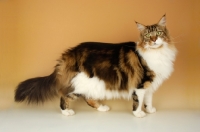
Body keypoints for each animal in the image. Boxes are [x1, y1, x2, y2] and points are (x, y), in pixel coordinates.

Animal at [14, 14, 177, 118]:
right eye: (148, 36)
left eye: (159, 33)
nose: (154, 40)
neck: (158, 53)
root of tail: (70, 53)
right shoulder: (141, 84)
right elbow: (138, 102)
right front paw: (139, 114)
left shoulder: (150, 85)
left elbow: (148, 101)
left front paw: (150, 110)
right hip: (81, 83)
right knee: (64, 95)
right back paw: (66, 112)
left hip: (91, 84)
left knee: (88, 98)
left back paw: (102, 108)